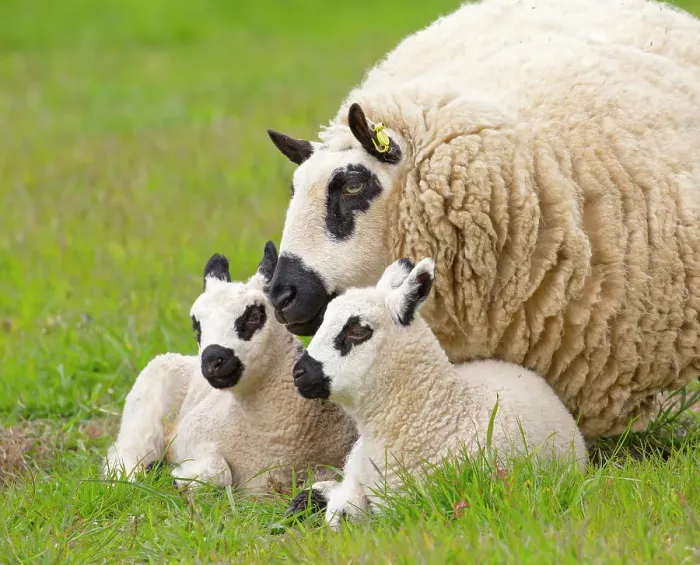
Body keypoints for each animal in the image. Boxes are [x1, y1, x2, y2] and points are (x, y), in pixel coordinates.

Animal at [103, 242, 357, 493]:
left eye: (254, 316)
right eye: (197, 327)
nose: (213, 360)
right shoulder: (193, 435)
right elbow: (220, 472)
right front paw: (174, 476)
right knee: (125, 454)